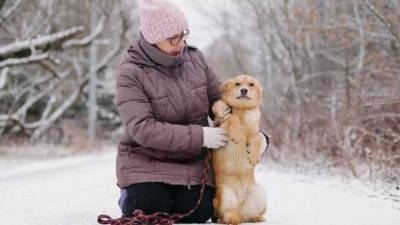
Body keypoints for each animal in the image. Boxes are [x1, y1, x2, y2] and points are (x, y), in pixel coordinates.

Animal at [211, 74, 268, 224]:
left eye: (251, 84)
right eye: (237, 83)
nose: (244, 90)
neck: (242, 111)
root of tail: (240, 209)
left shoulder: (254, 131)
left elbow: (256, 137)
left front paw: (254, 155)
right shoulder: (222, 123)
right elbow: (231, 116)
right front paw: (236, 133)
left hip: (260, 192)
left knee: (247, 215)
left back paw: (256, 217)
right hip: (226, 194)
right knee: (228, 213)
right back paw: (228, 219)